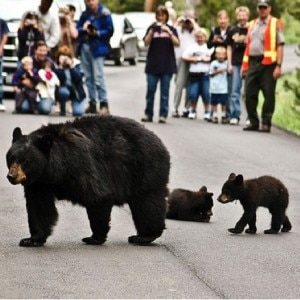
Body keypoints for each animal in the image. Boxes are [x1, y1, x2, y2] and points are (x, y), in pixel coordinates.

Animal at [5, 115, 171, 246]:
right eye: (11, 158)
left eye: (25, 161)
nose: (11, 176)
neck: (54, 170)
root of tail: (159, 141)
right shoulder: (39, 183)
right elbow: (39, 207)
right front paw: (31, 240)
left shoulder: (81, 164)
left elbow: (98, 196)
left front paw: (95, 238)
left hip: (145, 168)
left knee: (147, 203)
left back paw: (144, 236)